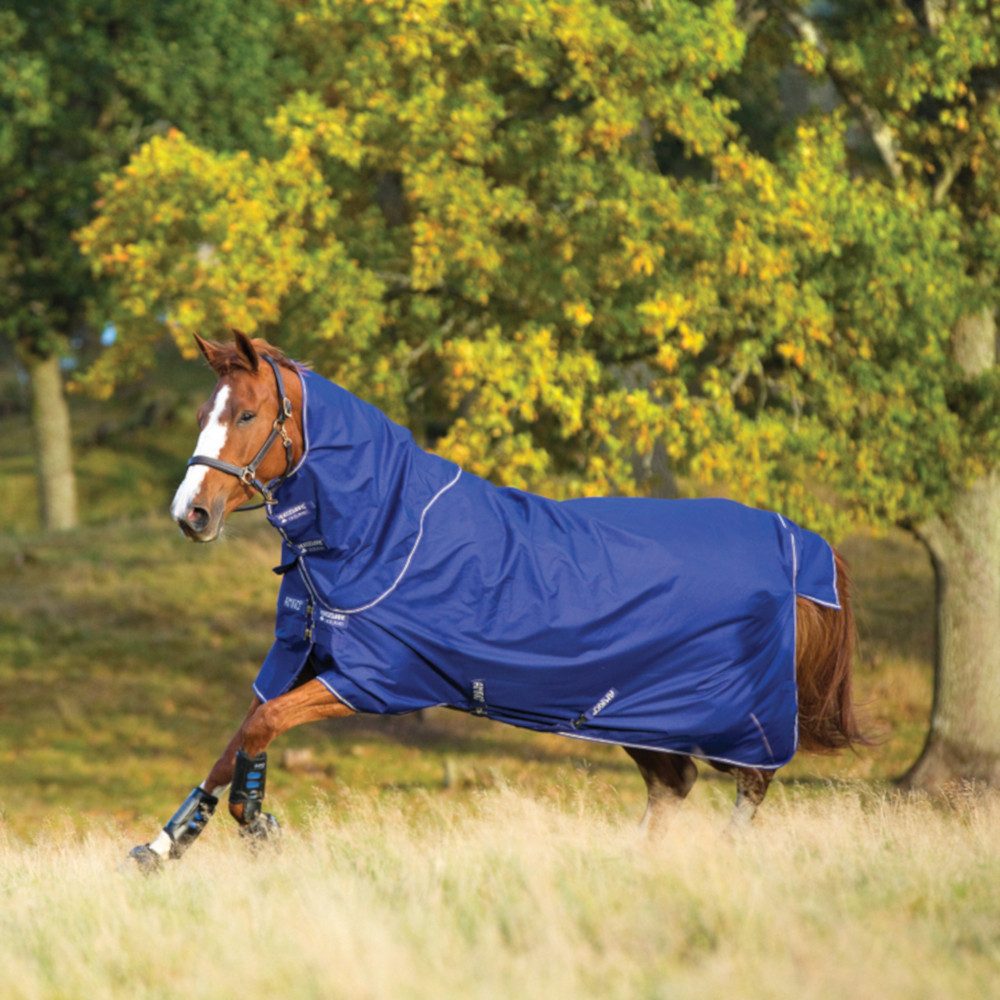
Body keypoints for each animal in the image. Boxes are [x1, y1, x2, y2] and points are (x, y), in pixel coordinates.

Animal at [131, 330, 865, 868]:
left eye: (247, 414)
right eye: (202, 415)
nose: (190, 514)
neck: (380, 527)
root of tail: (797, 545)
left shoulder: (372, 679)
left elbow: (261, 728)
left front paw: (257, 822)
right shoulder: (302, 657)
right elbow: (237, 737)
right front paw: (164, 846)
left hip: (729, 715)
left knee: (749, 783)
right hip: (632, 712)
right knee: (672, 786)